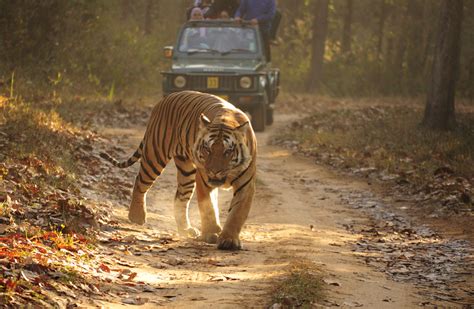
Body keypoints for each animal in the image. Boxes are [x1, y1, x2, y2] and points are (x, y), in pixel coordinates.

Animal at [100, 90, 256, 249]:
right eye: (207, 149)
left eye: (227, 151)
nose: (213, 171)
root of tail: (164, 99)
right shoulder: (203, 180)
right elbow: (208, 208)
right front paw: (211, 233)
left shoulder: (245, 184)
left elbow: (237, 213)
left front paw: (229, 240)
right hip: (155, 155)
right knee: (140, 182)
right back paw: (136, 216)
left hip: (186, 171)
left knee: (180, 198)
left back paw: (185, 229)